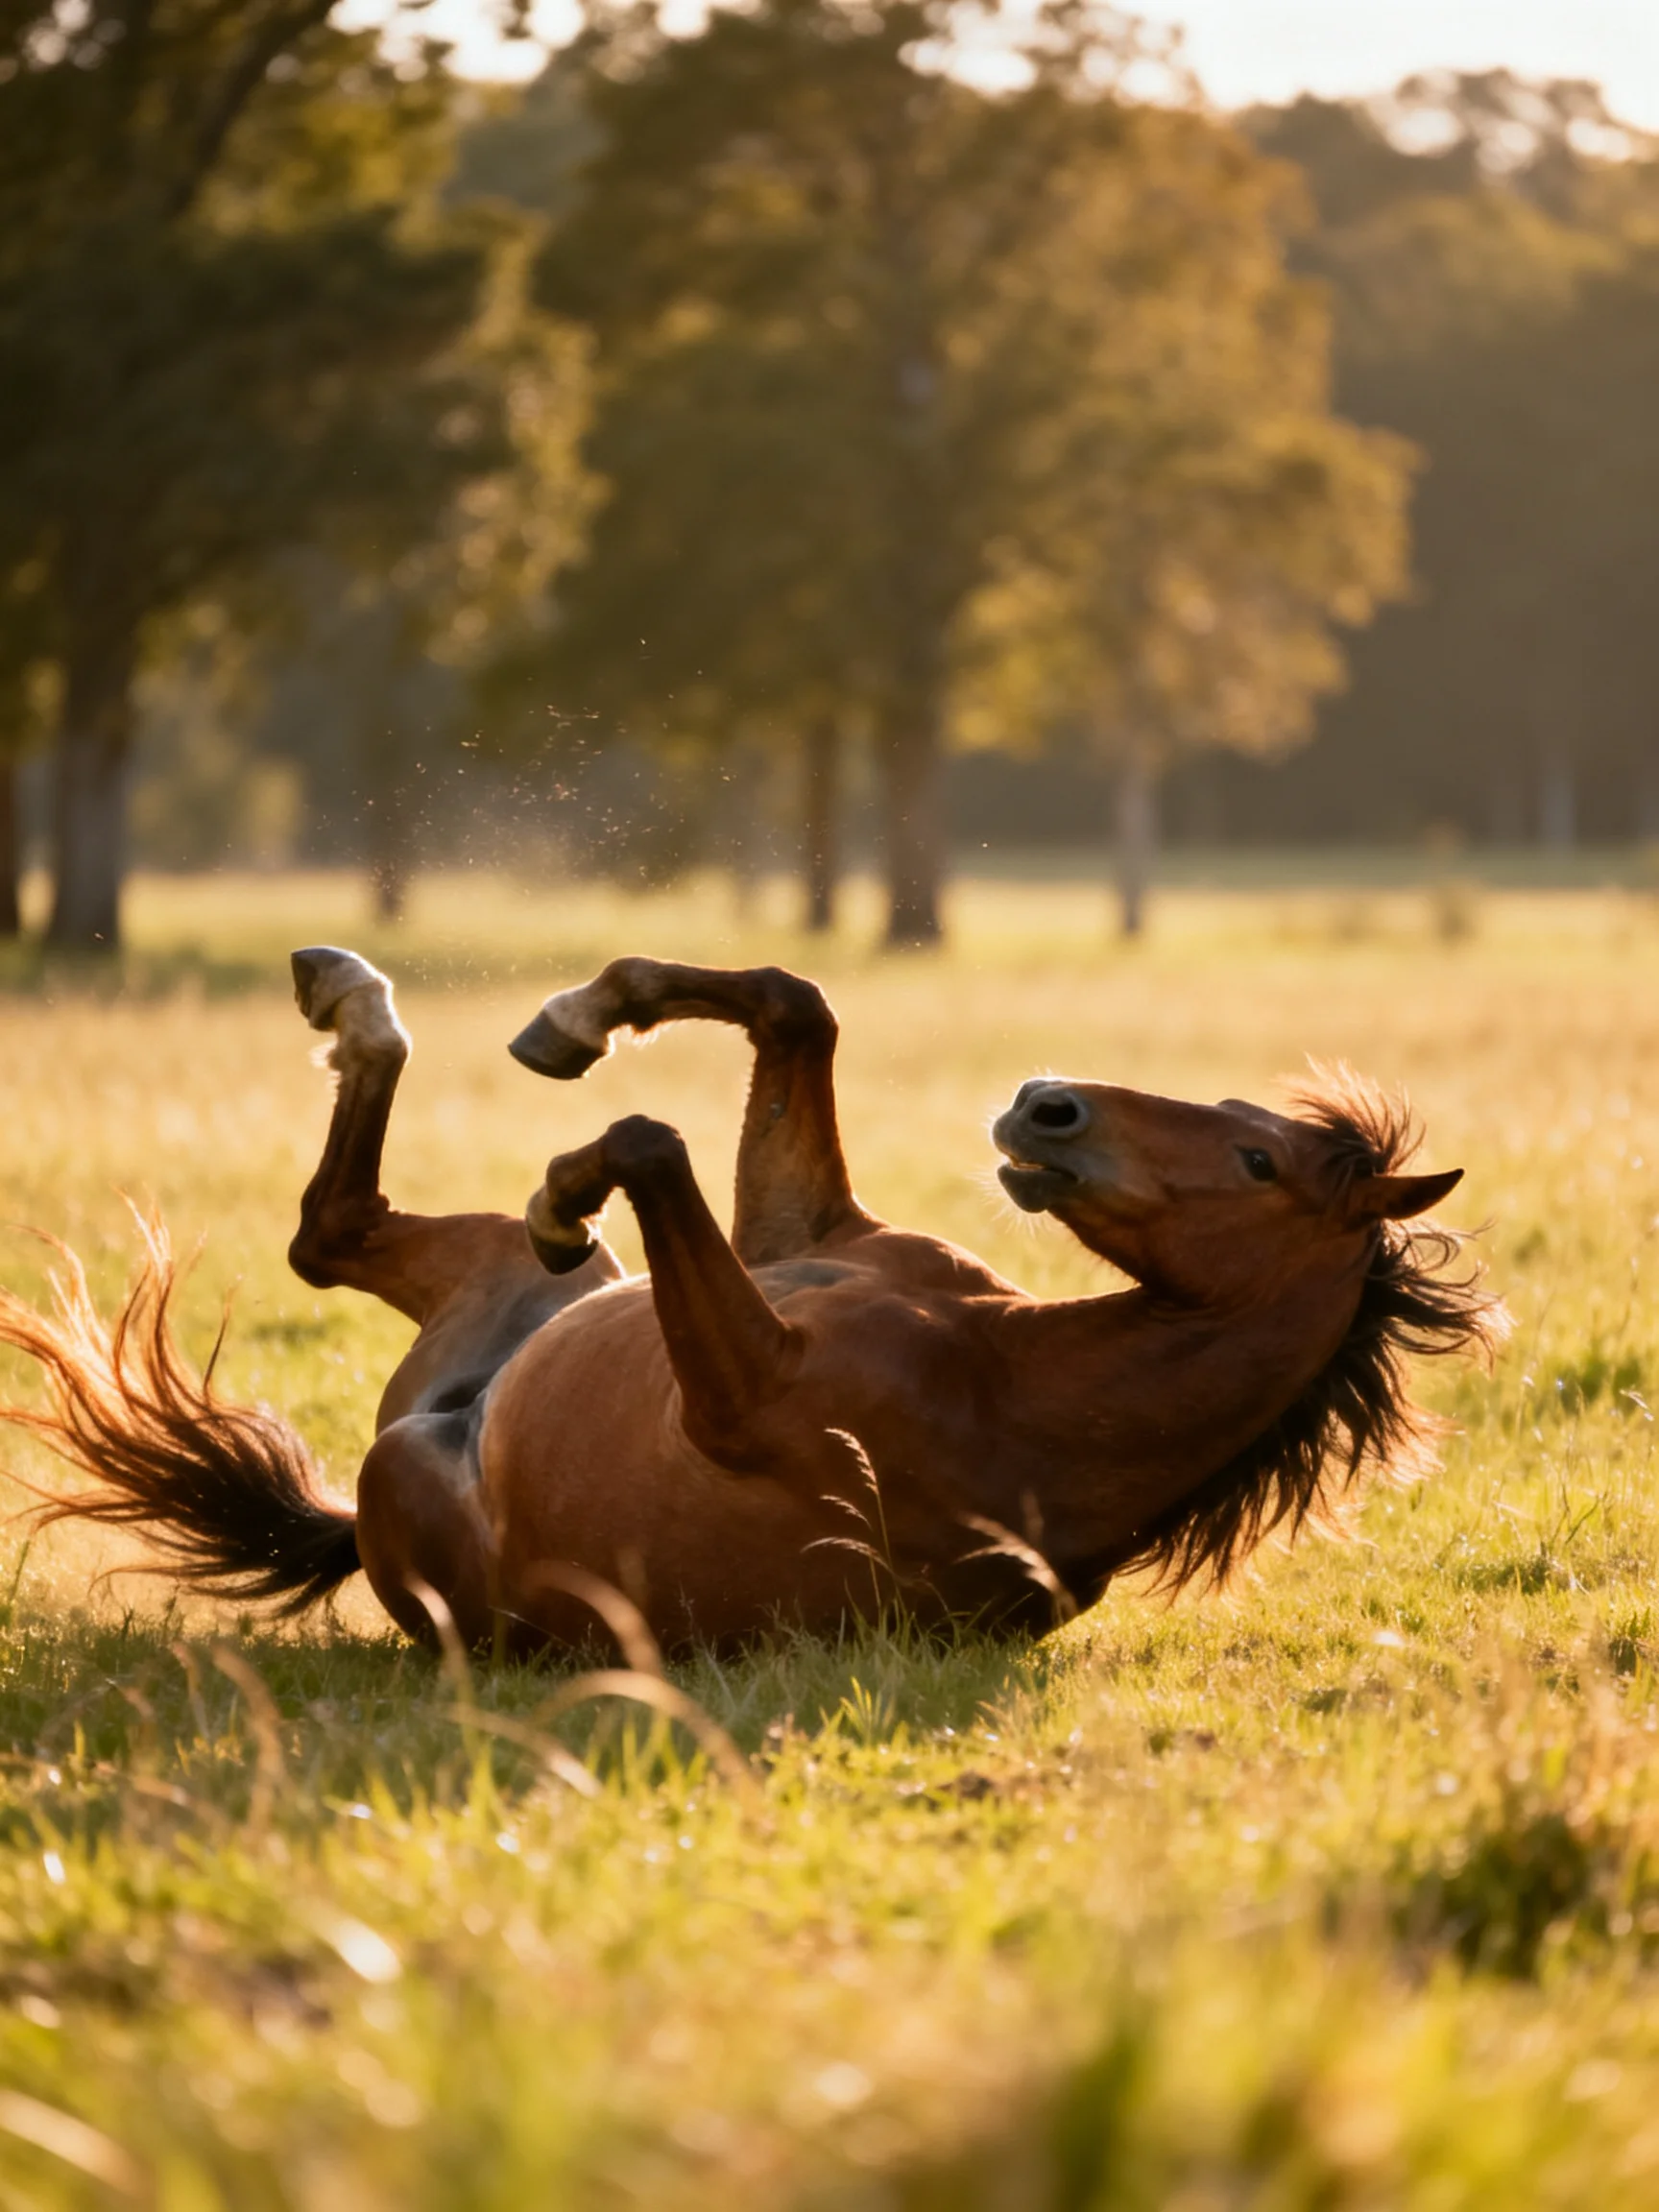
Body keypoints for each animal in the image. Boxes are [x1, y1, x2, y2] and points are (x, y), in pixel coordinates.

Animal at [0, 949, 1503, 1657]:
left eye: (1257, 1163)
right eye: (1245, 1120)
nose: (1045, 1105)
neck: (1007, 1384)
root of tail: (431, 1427)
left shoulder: (742, 1395)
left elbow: (650, 1142)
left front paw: (571, 1174)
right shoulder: (804, 1235)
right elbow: (795, 1004)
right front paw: (584, 1016)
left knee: (335, 1238)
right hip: (495, 1287)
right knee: (336, 1230)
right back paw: (352, 994)